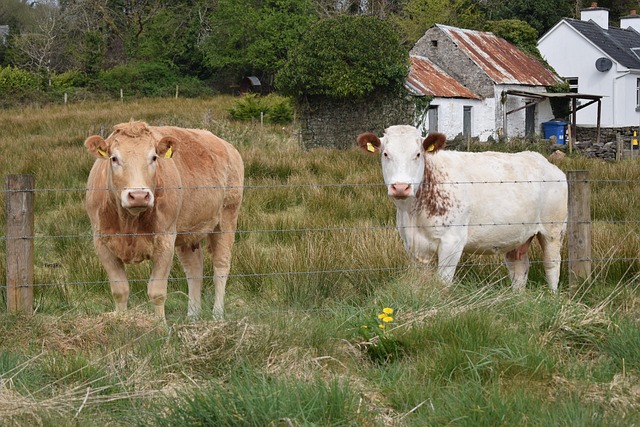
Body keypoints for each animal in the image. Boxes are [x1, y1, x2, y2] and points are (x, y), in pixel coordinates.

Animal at [84, 122, 244, 320]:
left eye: (153, 157)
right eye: (114, 158)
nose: (138, 196)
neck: (129, 222)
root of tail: (226, 146)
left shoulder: (165, 241)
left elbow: (157, 292)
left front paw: (160, 325)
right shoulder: (101, 242)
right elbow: (120, 290)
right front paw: (121, 321)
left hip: (227, 218)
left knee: (221, 266)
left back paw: (217, 315)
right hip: (187, 232)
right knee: (194, 268)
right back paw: (192, 315)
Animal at [358, 125, 568, 292]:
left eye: (417, 154)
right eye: (386, 154)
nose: (401, 187)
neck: (413, 213)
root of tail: (542, 160)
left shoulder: (453, 241)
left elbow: (443, 282)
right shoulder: (413, 245)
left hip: (553, 229)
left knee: (551, 264)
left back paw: (552, 296)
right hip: (517, 235)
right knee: (519, 267)